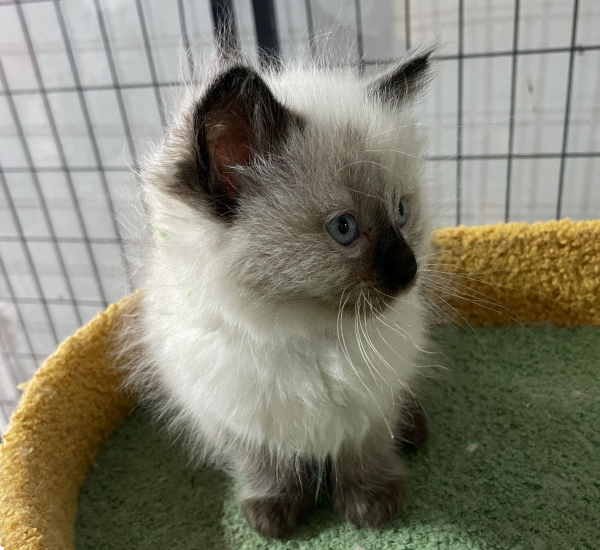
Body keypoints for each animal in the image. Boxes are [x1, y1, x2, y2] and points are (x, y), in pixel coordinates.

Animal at [126, 49, 434, 540]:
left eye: (401, 212)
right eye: (344, 229)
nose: (409, 272)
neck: (309, 338)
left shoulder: (371, 406)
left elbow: (364, 454)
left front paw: (371, 506)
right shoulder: (240, 422)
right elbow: (268, 471)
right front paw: (275, 515)